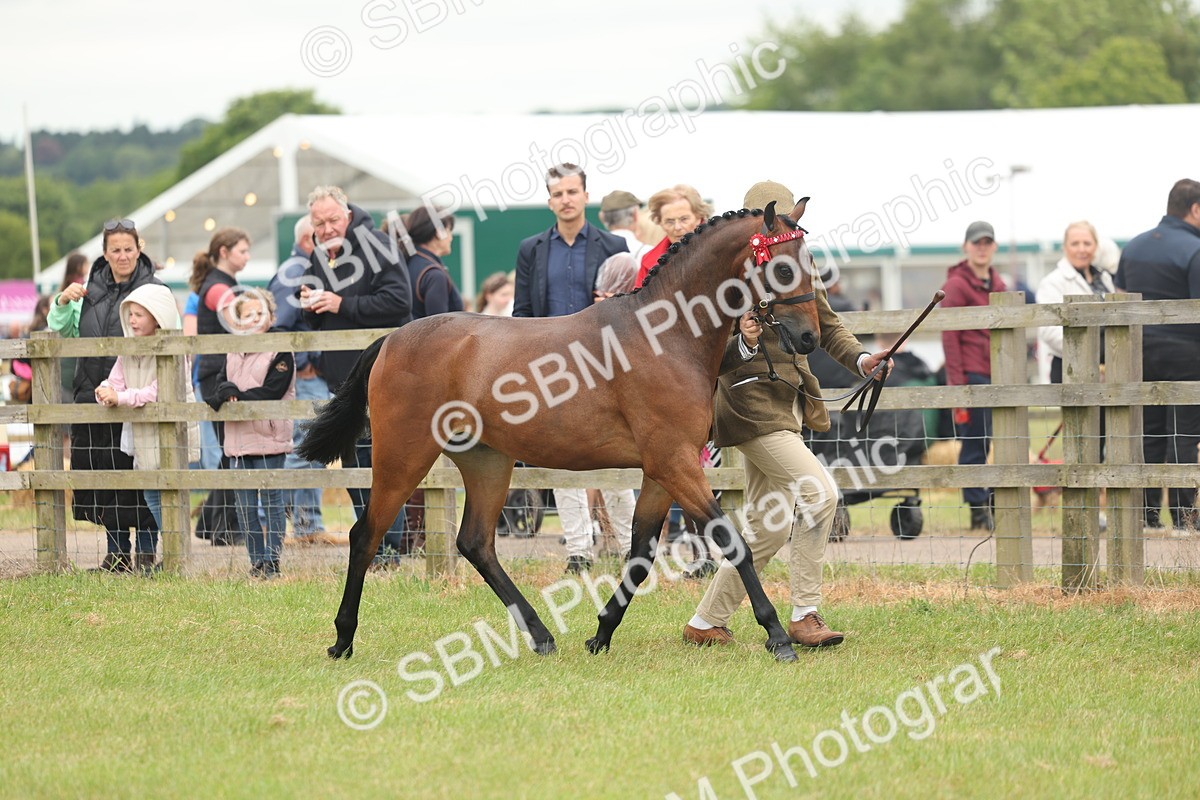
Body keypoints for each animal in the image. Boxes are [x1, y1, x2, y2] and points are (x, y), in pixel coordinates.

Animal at [298, 199, 821, 663]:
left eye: (810, 261)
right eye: (781, 267)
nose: (809, 337)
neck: (665, 337)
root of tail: (392, 339)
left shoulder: (662, 469)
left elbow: (640, 553)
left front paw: (601, 633)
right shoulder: (674, 462)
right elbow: (732, 542)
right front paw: (778, 637)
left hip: (487, 461)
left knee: (475, 542)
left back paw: (541, 635)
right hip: (403, 455)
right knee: (366, 535)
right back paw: (342, 639)